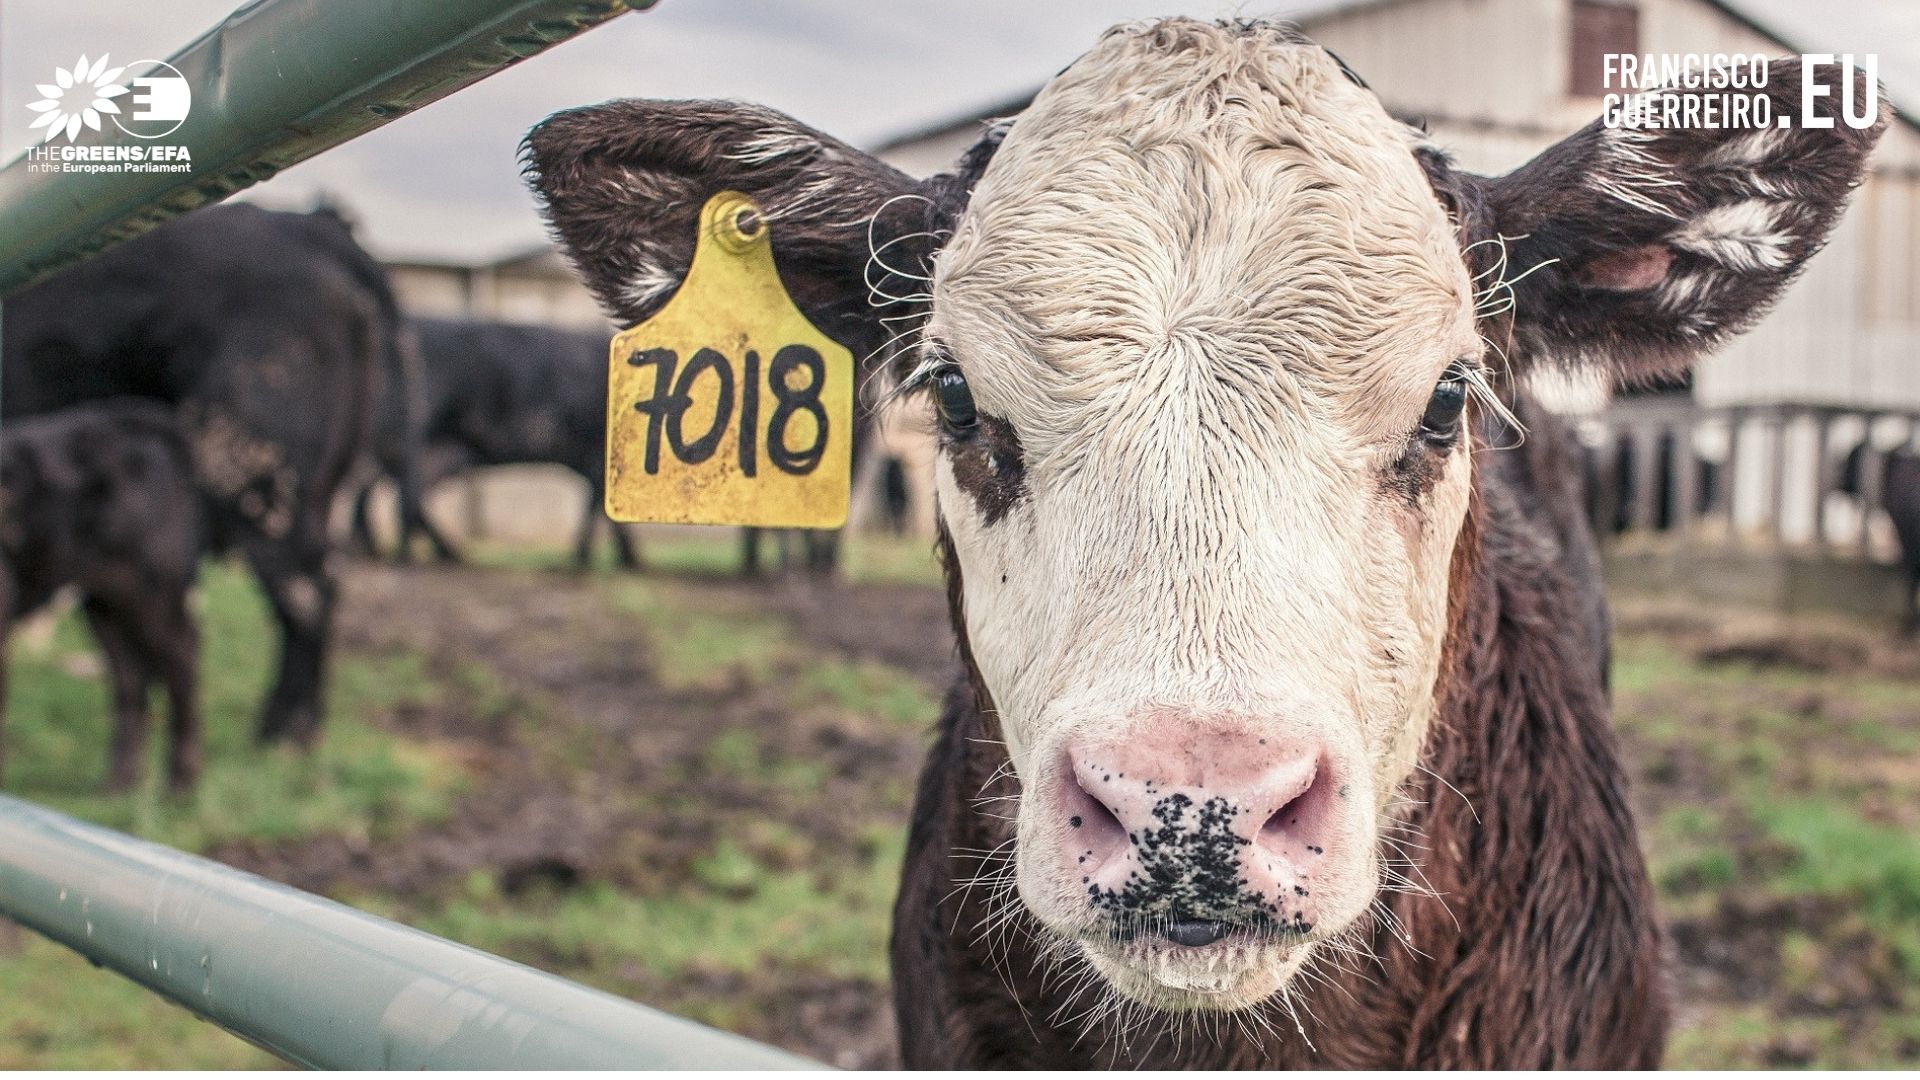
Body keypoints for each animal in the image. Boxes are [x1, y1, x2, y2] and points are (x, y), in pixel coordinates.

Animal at [349, 317, 641, 572]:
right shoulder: (597, 454)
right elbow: (599, 505)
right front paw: (607, 558)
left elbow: (598, 504)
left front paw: (613, 558)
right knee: (398, 492)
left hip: (434, 449)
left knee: (393, 490)